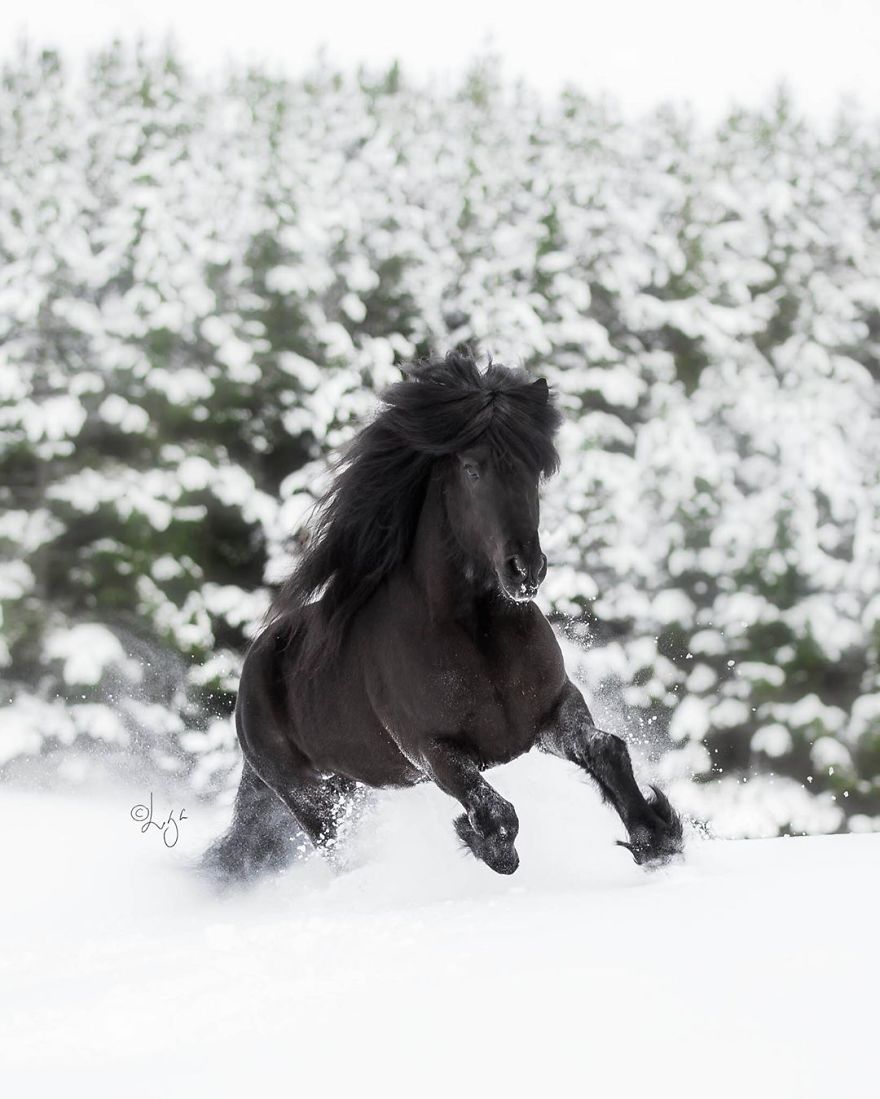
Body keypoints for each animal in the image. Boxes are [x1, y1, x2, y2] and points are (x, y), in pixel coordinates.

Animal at [205, 350, 684, 881]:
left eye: (535, 469)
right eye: (473, 470)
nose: (526, 569)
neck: (477, 632)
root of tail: (253, 667)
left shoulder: (553, 711)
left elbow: (607, 750)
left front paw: (657, 840)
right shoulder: (431, 750)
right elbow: (496, 814)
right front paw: (481, 843)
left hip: (350, 783)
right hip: (307, 793)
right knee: (337, 846)